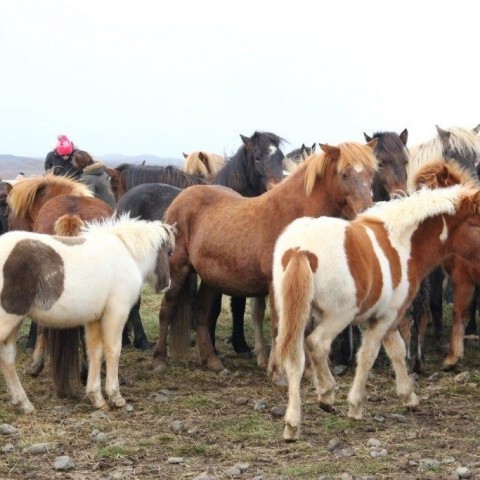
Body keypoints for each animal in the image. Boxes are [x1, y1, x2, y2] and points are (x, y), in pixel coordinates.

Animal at [0, 215, 174, 412]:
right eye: (169, 252)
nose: (166, 284)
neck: (125, 254)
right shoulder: (116, 312)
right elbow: (113, 350)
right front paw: (116, 397)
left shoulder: (95, 319)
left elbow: (95, 353)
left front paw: (96, 398)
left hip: (15, 321)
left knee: (7, 357)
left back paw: (24, 403)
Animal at [116, 131, 286, 352]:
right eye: (257, 157)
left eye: (281, 157)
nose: (277, 188)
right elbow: (212, 309)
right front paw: (210, 345)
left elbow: (238, 305)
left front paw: (240, 344)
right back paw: (141, 340)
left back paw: (126, 340)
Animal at [153, 140, 378, 378]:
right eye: (344, 174)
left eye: (371, 173)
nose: (366, 213)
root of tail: (181, 198)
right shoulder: (276, 284)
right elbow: (280, 325)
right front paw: (278, 372)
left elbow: (305, 327)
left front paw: (306, 371)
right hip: (178, 268)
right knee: (166, 310)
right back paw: (159, 361)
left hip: (211, 278)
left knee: (201, 313)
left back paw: (213, 362)